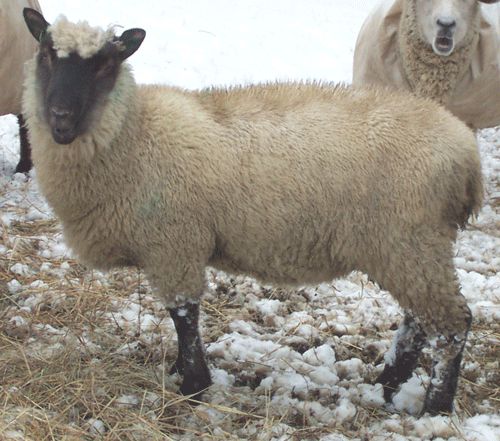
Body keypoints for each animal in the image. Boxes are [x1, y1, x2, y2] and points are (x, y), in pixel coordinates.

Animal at [22, 10, 484, 416]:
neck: (135, 134)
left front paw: (194, 385)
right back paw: (387, 384)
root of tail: (466, 153)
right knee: (418, 322)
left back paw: (435, 407)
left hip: (411, 242)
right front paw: (180, 373)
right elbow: (181, 319)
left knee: (453, 325)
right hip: (410, 250)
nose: (60, 120)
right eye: (45, 55)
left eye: (106, 64)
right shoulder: (172, 248)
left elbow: (184, 316)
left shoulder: (174, 245)